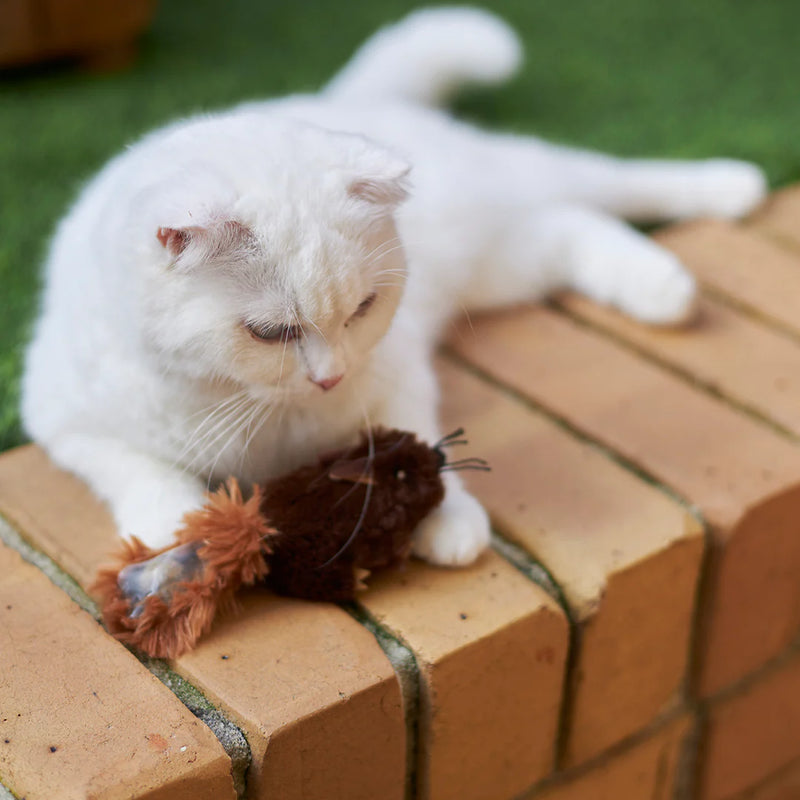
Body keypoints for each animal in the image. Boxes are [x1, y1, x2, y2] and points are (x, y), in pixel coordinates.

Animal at [23, 9, 764, 564]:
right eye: (271, 333)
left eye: (361, 311)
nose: (329, 378)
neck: (259, 415)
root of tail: (343, 102)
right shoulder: (62, 418)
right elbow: (138, 469)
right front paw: (178, 528)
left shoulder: (399, 369)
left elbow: (418, 440)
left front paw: (450, 520)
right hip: (506, 260)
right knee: (572, 225)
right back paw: (663, 285)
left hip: (521, 188)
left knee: (610, 180)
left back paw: (728, 190)